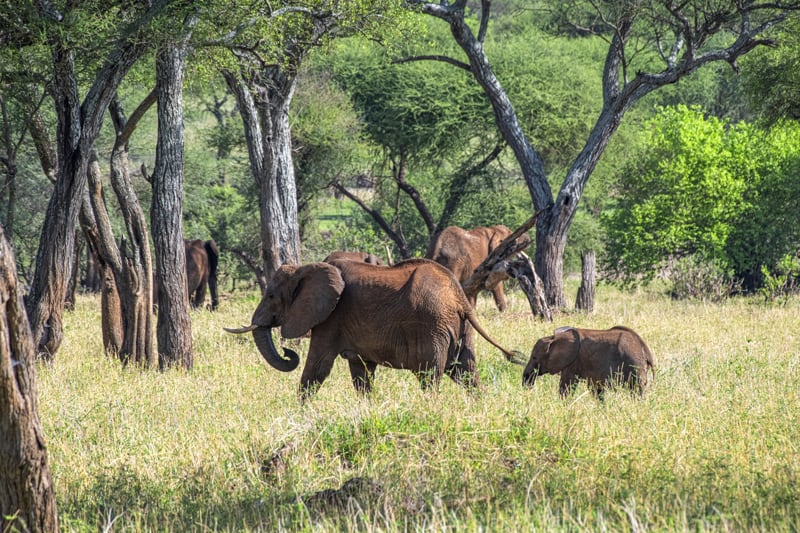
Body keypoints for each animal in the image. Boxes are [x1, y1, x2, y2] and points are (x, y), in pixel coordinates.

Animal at [225, 258, 524, 400]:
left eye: (271, 296)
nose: (288, 352)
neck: (306, 267)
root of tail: (460, 297)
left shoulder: (331, 318)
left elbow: (317, 369)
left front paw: (299, 413)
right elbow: (362, 374)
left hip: (432, 327)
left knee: (430, 376)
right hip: (460, 329)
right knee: (467, 373)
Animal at [520, 322, 652, 396]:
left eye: (534, 357)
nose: (529, 387)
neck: (553, 338)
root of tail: (645, 348)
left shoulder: (572, 362)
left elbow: (566, 386)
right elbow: (597, 390)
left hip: (635, 365)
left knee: (637, 390)